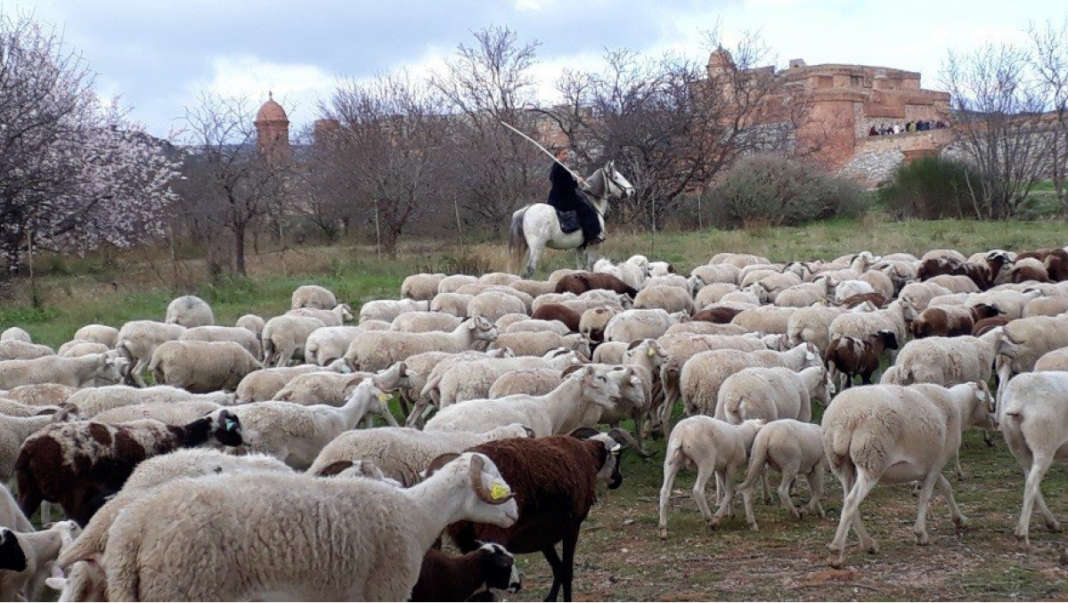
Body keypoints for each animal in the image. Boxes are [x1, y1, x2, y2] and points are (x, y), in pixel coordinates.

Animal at [16, 408, 244, 525]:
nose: (248, 441)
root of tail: (30, 449)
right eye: (235, 427)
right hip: (70, 493)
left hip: (29, 489)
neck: (180, 435)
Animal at [97, 453, 517, 602]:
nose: (514, 512)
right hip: (188, 592)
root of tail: (131, 530)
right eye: (495, 481)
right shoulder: (385, 591)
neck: (416, 514)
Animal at [447, 429, 632, 602]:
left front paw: (550, 599)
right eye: (619, 455)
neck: (589, 455)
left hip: (467, 540)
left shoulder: (542, 535)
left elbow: (558, 569)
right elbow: (567, 572)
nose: (619, 480)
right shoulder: (572, 527)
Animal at [822, 382, 993, 567]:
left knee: (848, 501)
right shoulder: (937, 462)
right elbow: (926, 496)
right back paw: (836, 552)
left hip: (842, 465)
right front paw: (920, 534)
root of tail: (844, 419)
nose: (996, 422)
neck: (959, 406)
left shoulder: (927, 466)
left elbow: (946, 487)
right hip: (872, 460)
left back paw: (868, 544)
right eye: (990, 402)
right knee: (851, 502)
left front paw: (959, 519)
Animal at [997, 372, 1068, 547]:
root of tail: (1019, 400)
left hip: (1016, 444)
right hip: (1044, 441)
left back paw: (1051, 523)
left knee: (1029, 478)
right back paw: (1022, 534)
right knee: (1031, 482)